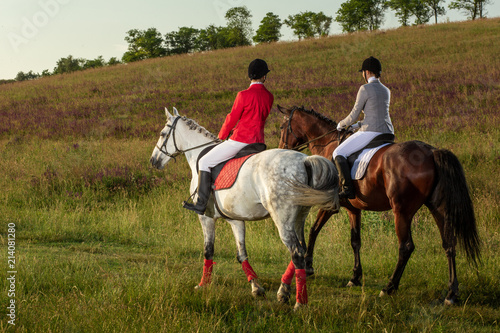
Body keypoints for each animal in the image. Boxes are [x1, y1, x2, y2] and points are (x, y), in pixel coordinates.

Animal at [278, 104, 480, 304]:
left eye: (281, 127)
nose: (281, 150)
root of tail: (431, 152)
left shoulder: (328, 204)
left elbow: (314, 230)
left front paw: (308, 265)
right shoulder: (354, 210)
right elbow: (355, 241)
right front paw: (355, 277)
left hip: (402, 211)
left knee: (406, 247)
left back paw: (389, 287)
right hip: (437, 208)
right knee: (449, 243)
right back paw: (451, 293)